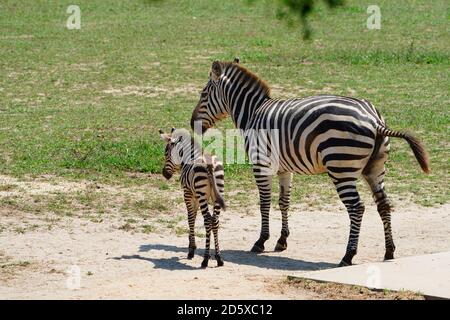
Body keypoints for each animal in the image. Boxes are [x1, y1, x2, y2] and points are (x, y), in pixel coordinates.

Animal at [160, 127, 227, 268]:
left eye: (166, 154)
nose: (164, 174)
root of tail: (210, 164)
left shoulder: (188, 194)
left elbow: (190, 218)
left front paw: (191, 250)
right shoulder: (199, 197)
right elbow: (195, 217)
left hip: (201, 195)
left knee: (207, 220)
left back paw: (205, 259)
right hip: (218, 192)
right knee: (215, 221)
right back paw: (218, 258)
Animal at [190, 58, 428, 266]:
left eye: (203, 94)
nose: (193, 124)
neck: (253, 113)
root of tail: (375, 120)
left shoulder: (261, 164)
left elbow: (264, 203)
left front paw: (261, 241)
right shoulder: (284, 169)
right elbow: (284, 202)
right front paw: (282, 241)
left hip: (341, 167)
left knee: (356, 207)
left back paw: (348, 255)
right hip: (375, 168)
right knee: (384, 204)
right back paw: (389, 251)